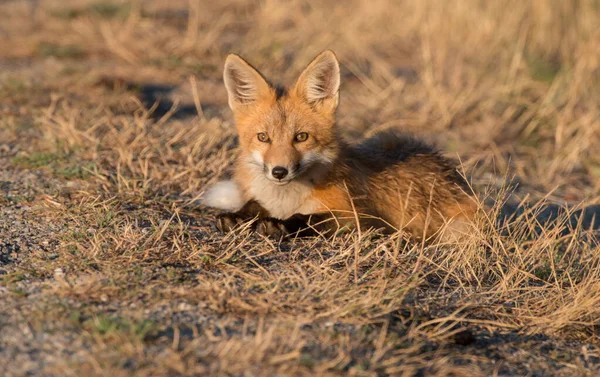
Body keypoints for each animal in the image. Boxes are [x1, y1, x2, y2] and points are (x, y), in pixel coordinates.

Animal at [202, 50, 478, 241]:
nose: (279, 171)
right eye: (263, 137)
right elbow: (252, 204)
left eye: (301, 137)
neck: (285, 200)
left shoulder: (365, 220)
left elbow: (310, 219)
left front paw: (282, 224)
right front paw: (237, 215)